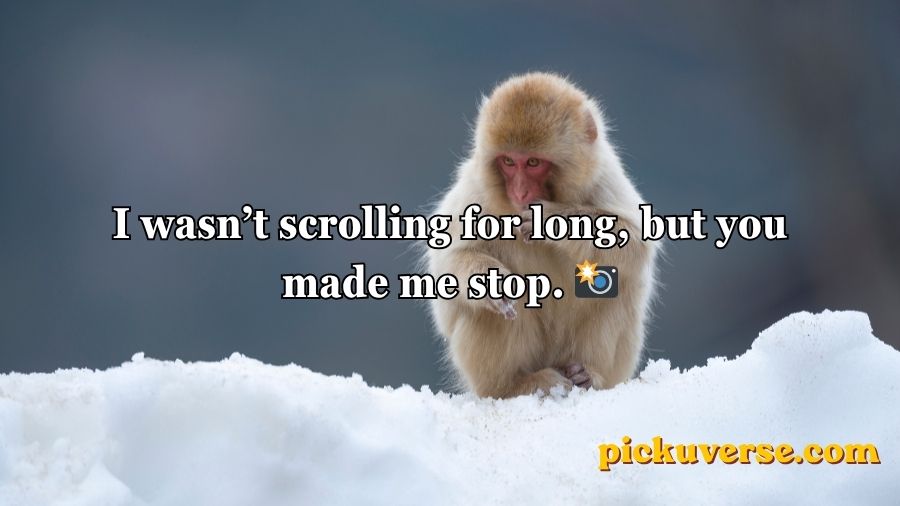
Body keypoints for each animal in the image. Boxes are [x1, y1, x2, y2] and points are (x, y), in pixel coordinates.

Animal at [426, 72, 658, 398]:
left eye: (533, 162)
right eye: (509, 162)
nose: (520, 192)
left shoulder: (604, 178)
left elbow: (638, 241)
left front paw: (552, 220)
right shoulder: (477, 190)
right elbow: (447, 262)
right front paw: (492, 282)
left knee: (620, 280)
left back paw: (587, 376)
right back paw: (516, 384)